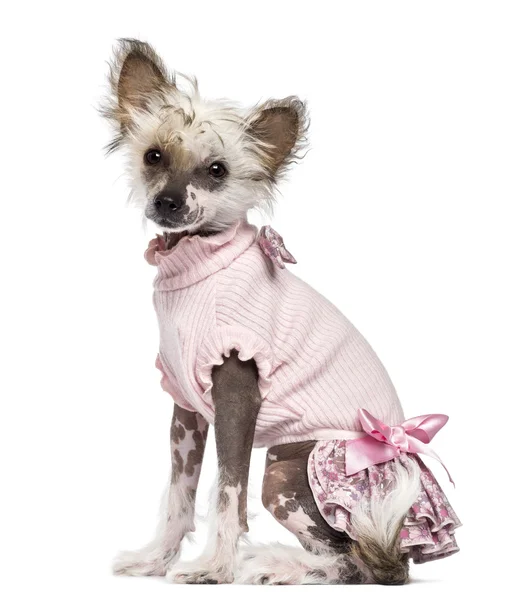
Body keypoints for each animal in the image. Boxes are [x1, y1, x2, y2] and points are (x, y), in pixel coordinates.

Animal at [101, 38, 460, 584]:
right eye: (153, 156)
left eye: (218, 170)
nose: (167, 202)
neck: (201, 262)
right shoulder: (187, 406)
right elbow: (180, 493)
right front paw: (156, 559)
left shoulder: (236, 394)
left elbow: (228, 493)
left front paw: (216, 569)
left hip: (286, 472)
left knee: (351, 563)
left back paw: (276, 565)